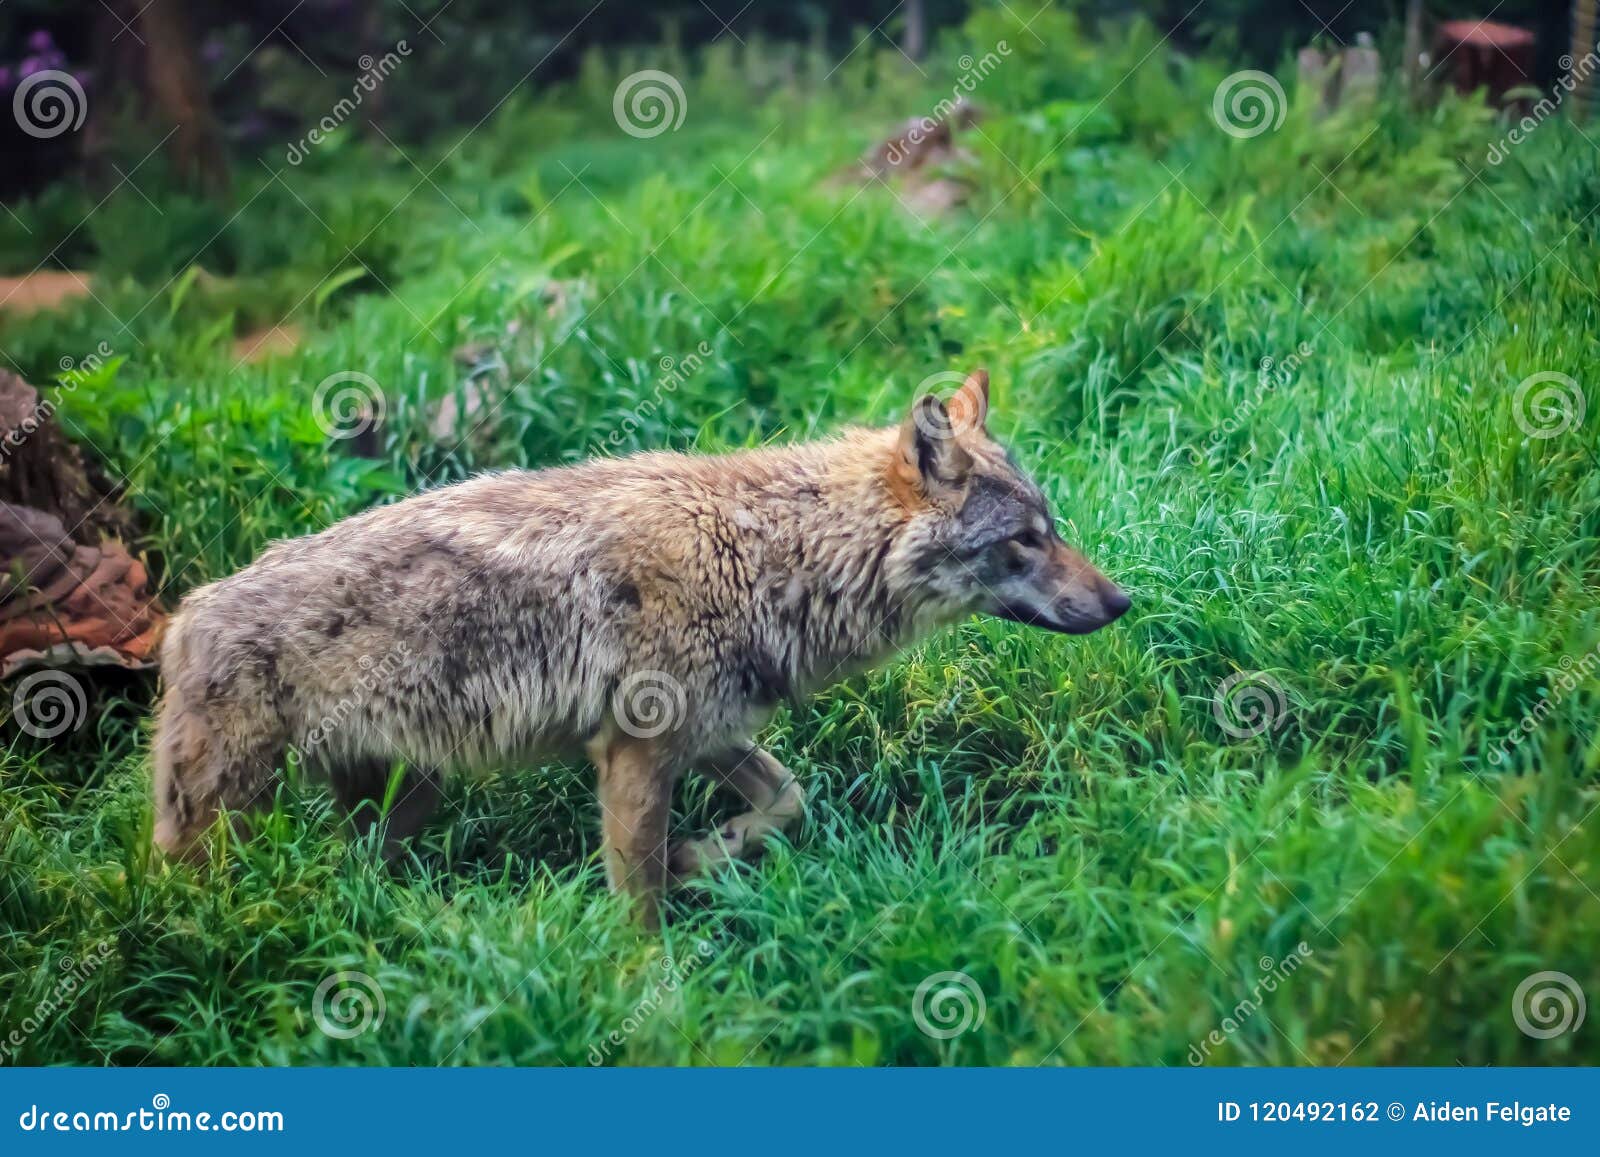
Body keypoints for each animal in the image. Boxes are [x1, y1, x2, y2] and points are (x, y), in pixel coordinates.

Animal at [152, 369, 1128, 927]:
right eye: (1028, 540)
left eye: (1053, 528)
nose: (1123, 601)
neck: (767, 554)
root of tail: (183, 616)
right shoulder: (633, 756)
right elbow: (641, 908)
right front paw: (654, 992)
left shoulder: (712, 732)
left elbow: (790, 800)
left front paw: (705, 856)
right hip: (224, 831)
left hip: (407, 797)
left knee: (363, 870)